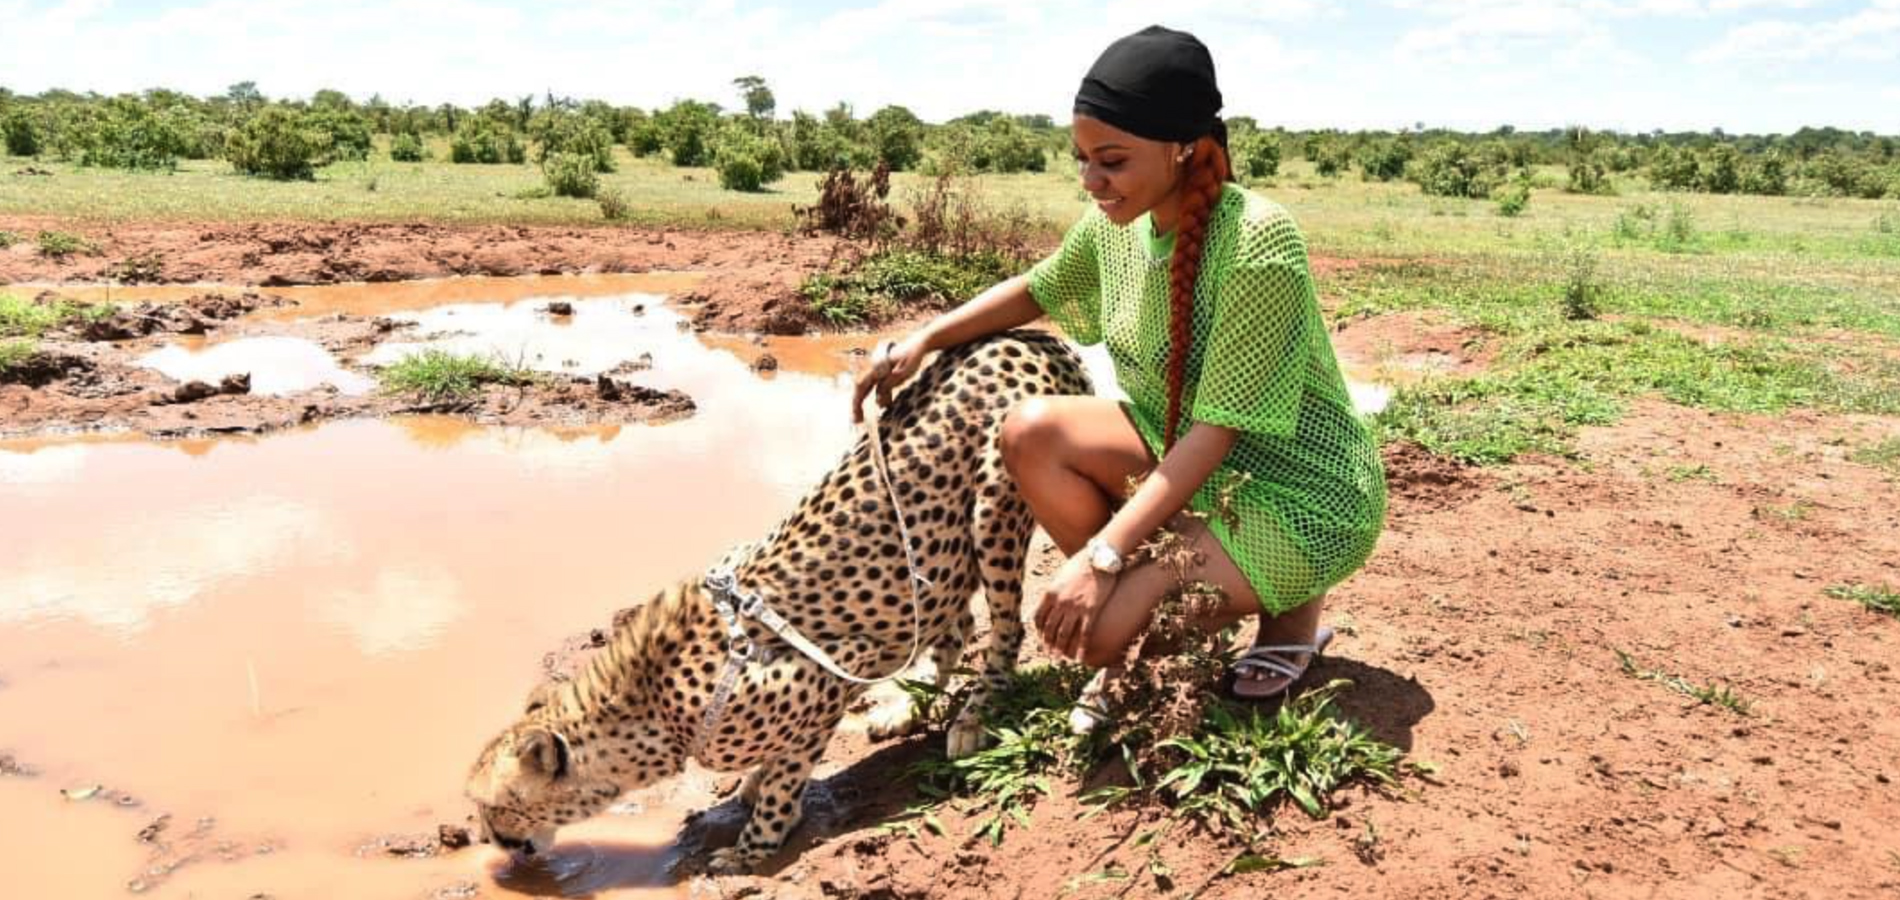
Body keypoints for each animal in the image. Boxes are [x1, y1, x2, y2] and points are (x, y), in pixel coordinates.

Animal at [465, 329, 1093, 874]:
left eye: (494, 807)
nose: (491, 841)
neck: (650, 709)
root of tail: (1032, 334)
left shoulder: (837, 669)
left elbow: (788, 772)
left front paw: (753, 847)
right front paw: (751, 785)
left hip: (993, 507)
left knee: (1005, 628)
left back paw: (975, 714)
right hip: (938, 556)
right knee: (954, 620)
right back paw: (904, 709)